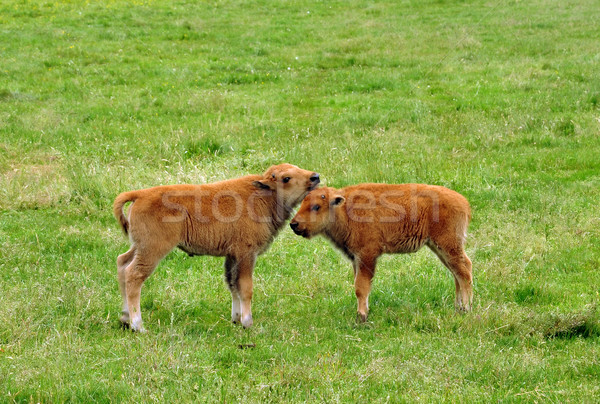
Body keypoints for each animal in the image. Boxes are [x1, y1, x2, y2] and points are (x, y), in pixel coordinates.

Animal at [112, 163, 318, 332]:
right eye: (286, 178)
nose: (315, 177)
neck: (263, 196)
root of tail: (140, 194)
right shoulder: (246, 253)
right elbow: (245, 287)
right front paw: (247, 322)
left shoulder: (232, 256)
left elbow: (233, 284)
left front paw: (236, 319)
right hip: (153, 250)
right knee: (133, 275)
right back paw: (138, 325)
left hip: (139, 246)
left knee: (122, 263)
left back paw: (125, 319)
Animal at [290, 184, 474, 322]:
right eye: (302, 203)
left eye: (316, 206)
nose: (294, 224)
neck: (344, 209)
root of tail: (463, 202)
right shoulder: (356, 259)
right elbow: (359, 286)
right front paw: (364, 311)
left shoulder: (367, 256)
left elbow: (361, 287)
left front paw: (361, 317)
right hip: (439, 248)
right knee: (457, 273)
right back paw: (458, 307)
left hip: (448, 245)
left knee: (464, 270)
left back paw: (466, 308)